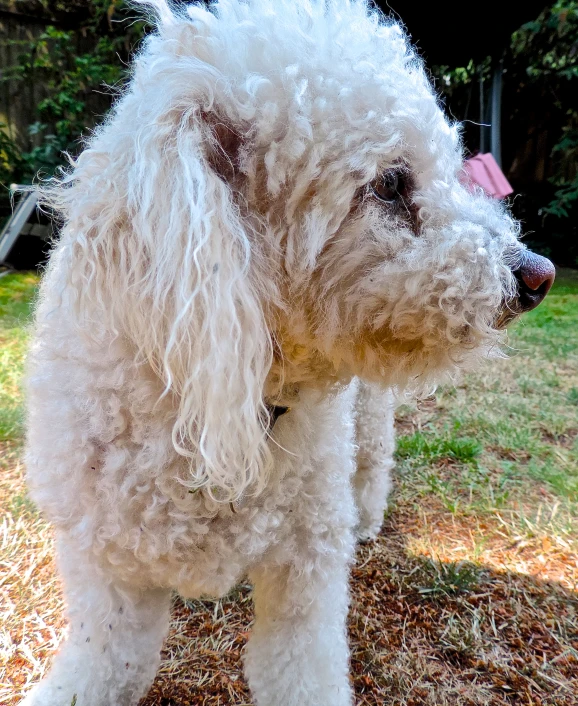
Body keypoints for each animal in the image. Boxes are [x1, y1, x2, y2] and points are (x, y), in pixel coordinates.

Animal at [23, 1, 552, 704]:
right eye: (390, 183)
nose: (539, 275)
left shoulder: (305, 575)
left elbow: (300, 669)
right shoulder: (110, 575)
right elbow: (102, 665)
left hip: (367, 421)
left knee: (373, 461)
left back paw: (366, 518)